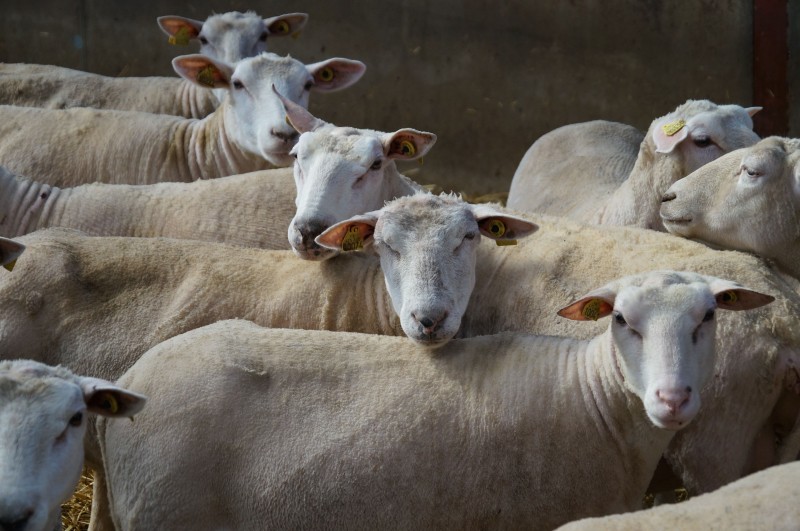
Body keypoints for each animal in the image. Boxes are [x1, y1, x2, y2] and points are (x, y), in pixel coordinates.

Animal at [94, 271, 773, 529]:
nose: (672, 397)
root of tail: (136, 377)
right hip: (170, 510)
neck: (591, 399)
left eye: (709, 317)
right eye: (623, 321)